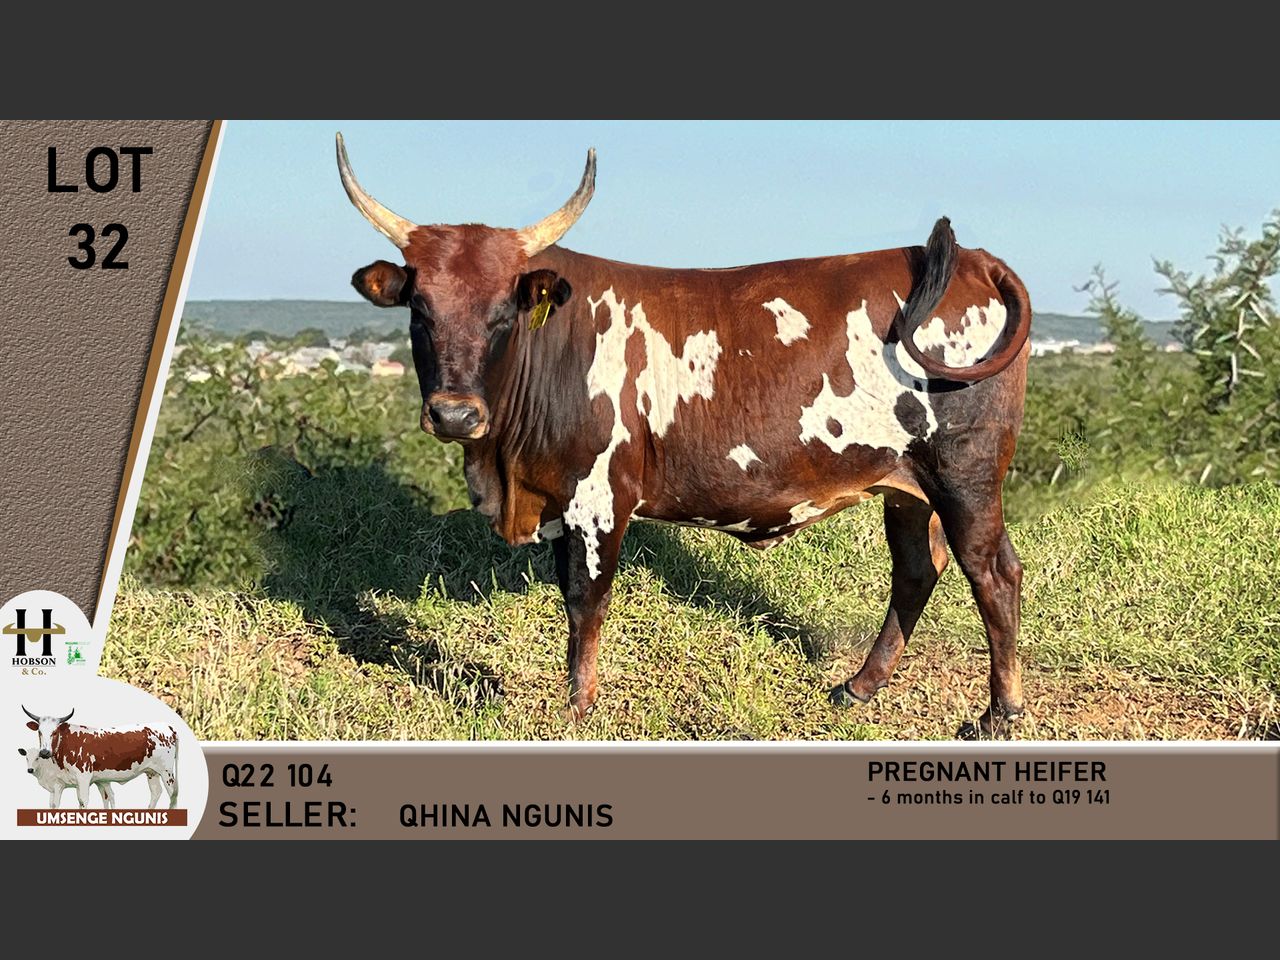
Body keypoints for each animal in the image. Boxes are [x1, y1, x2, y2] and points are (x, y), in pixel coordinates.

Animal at [22, 707, 180, 808]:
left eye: (54, 732)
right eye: (39, 732)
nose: (44, 752)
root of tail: (167, 726)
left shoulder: (83, 777)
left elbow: (83, 801)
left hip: (167, 772)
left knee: (173, 794)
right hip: (151, 772)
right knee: (156, 792)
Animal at [336, 133, 1033, 737]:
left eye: (503, 312)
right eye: (419, 309)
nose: (455, 415)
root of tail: (975, 261)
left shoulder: (599, 501)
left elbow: (585, 603)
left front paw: (576, 709)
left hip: (965, 476)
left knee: (993, 572)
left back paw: (1000, 713)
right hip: (906, 486)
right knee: (917, 568)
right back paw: (860, 686)